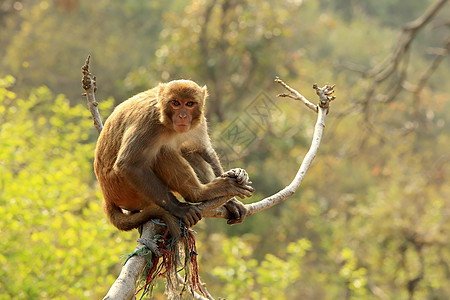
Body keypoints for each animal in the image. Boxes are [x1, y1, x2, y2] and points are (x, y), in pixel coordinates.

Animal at [94, 79, 253, 237]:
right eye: (175, 103)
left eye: (189, 104)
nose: (182, 116)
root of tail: (107, 197)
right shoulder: (149, 122)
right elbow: (128, 164)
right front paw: (179, 208)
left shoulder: (199, 122)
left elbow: (204, 150)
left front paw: (233, 201)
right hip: (125, 190)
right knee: (162, 152)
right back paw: (198, 194)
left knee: (187, 151)